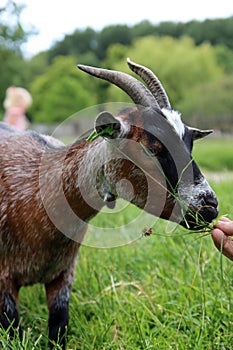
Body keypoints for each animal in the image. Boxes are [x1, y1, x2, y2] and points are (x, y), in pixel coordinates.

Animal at [0, 59, 218, 348]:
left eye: (189, 144)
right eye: (152, 148)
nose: (209, 205)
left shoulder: (63, 276)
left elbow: (59, 326)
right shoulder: (3, 281)